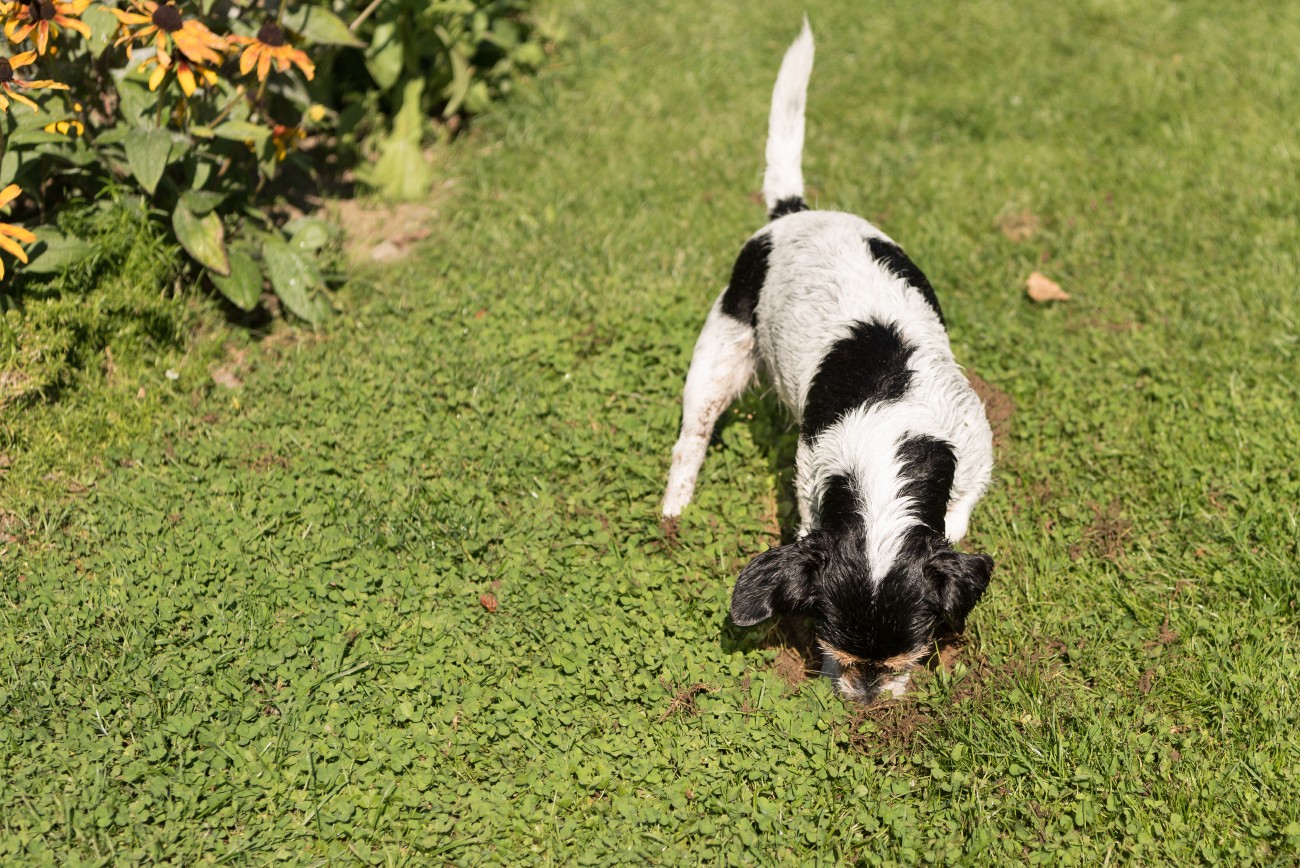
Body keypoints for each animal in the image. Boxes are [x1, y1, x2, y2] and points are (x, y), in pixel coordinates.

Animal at [660, 20, 993, 701]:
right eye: (830, 644)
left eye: (910, 654)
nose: (865, 699)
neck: (889, 449)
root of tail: (793, 212)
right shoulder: (811, 479)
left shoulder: (977, 447)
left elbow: (960, 515)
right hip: (718, 354)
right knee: (691, 439)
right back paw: (674, 509)